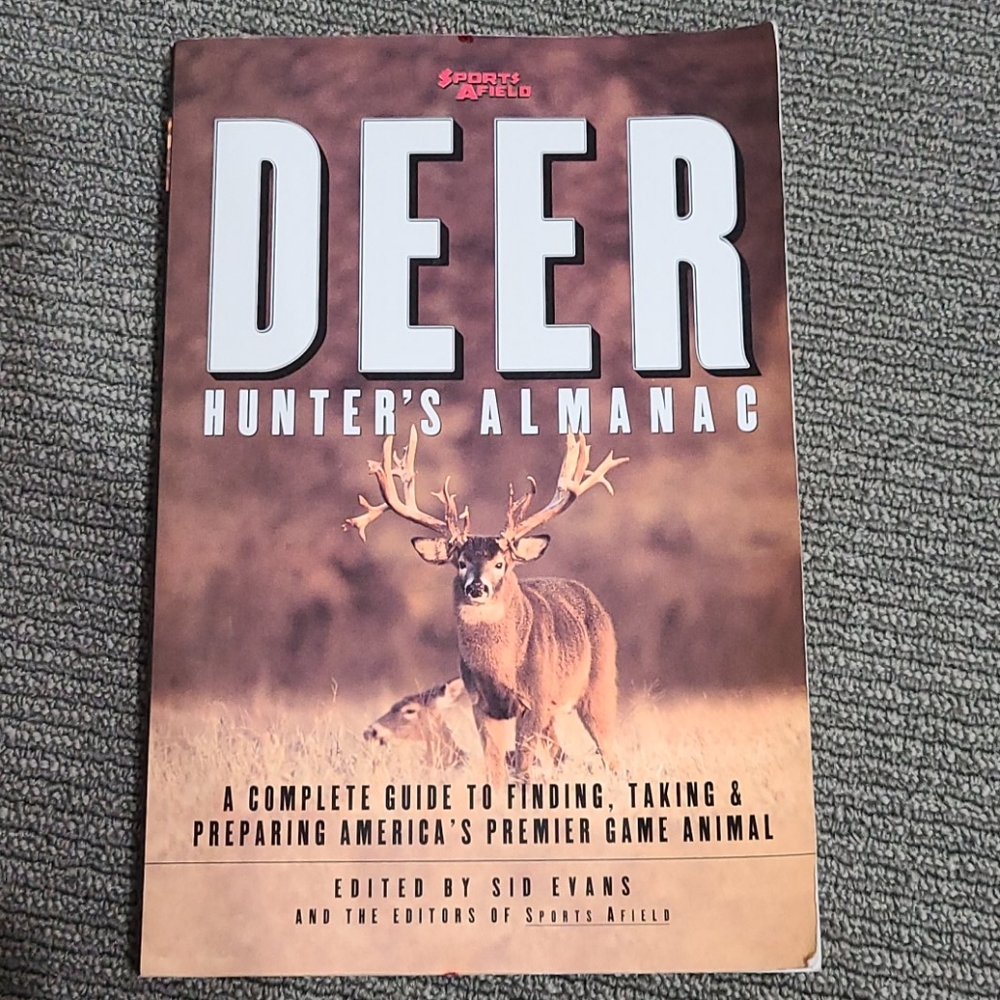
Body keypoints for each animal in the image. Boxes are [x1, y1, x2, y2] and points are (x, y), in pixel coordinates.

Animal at [344, 427, 628, 784]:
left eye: (500, 563)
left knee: (610, 754)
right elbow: (495, 769)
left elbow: (521, 766)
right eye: (461, 562)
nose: (477, 587)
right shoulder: (481, 703)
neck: (501, 669)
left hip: (599, 686)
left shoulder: (535, 699)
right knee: (561, 753)